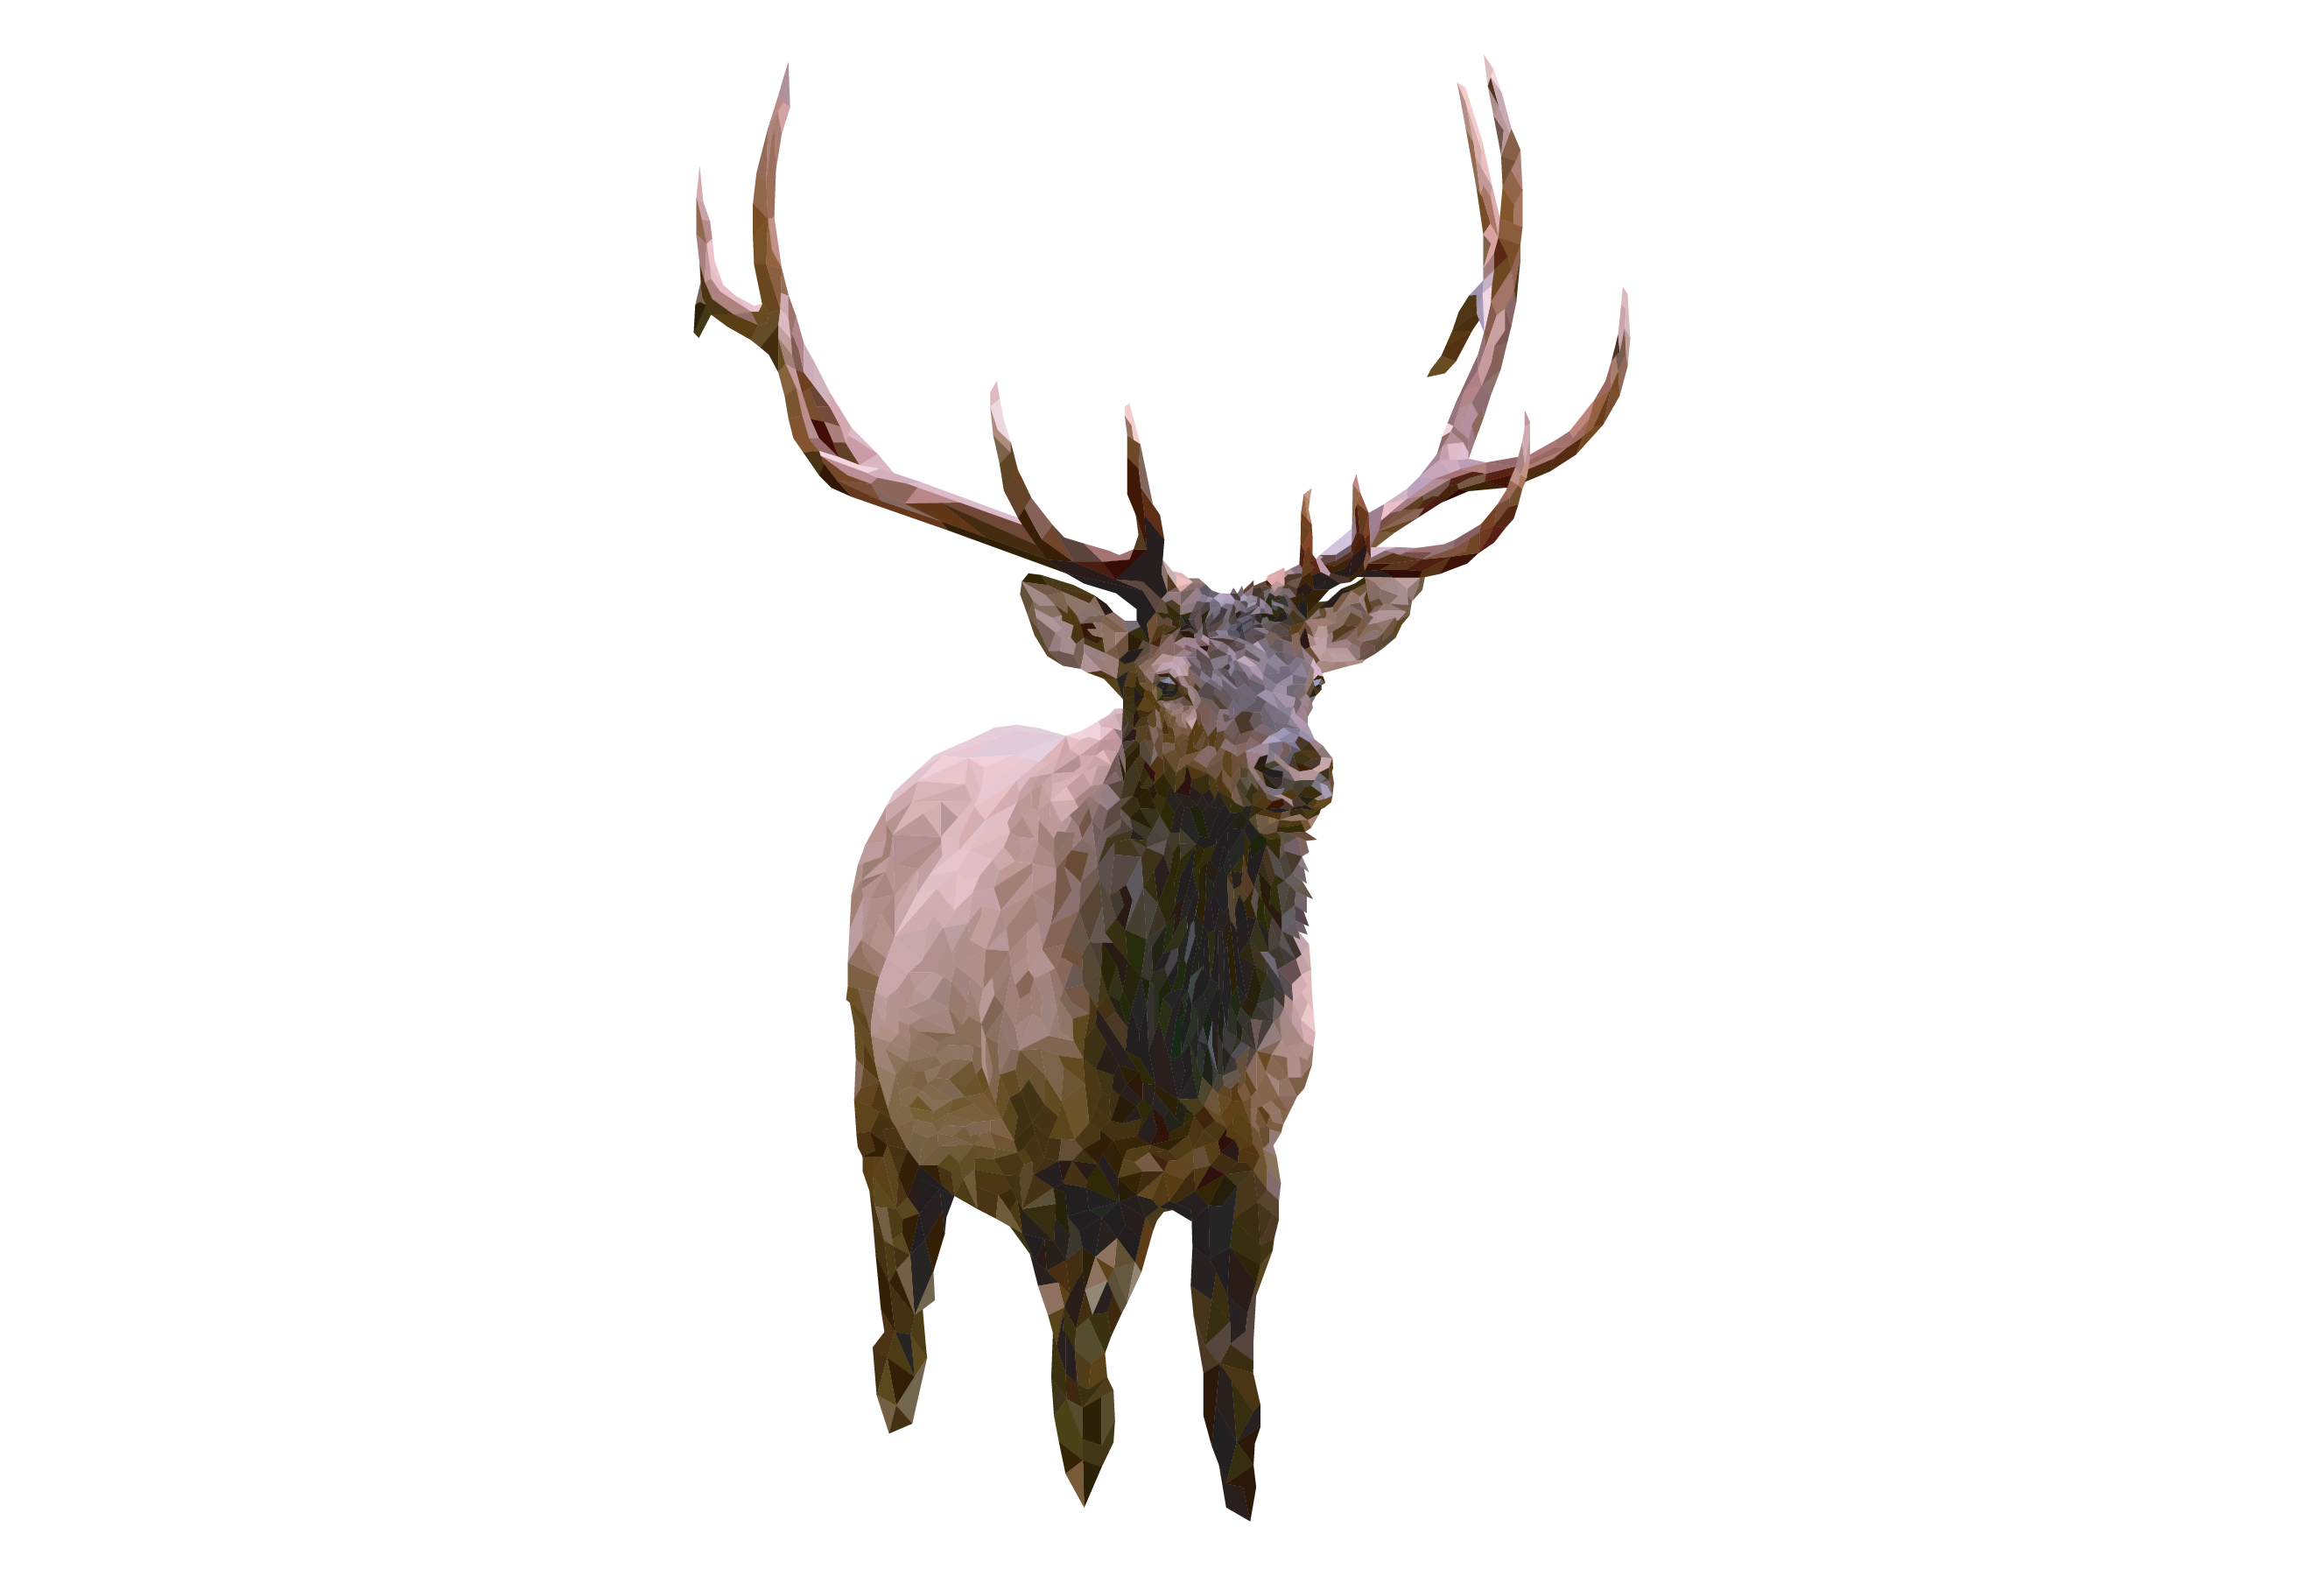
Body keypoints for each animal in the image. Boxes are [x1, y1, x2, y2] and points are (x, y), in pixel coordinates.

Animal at [692, 59, 1627, 1518]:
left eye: (1312, 681)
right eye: (1168, 684)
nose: (1298, 766)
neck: (1162, 1074)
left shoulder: (1256, 1167)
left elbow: (1233, 1408)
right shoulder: (1050, 1181)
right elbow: (1083, 1426)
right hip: (875, 1109)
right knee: (896, 1327)